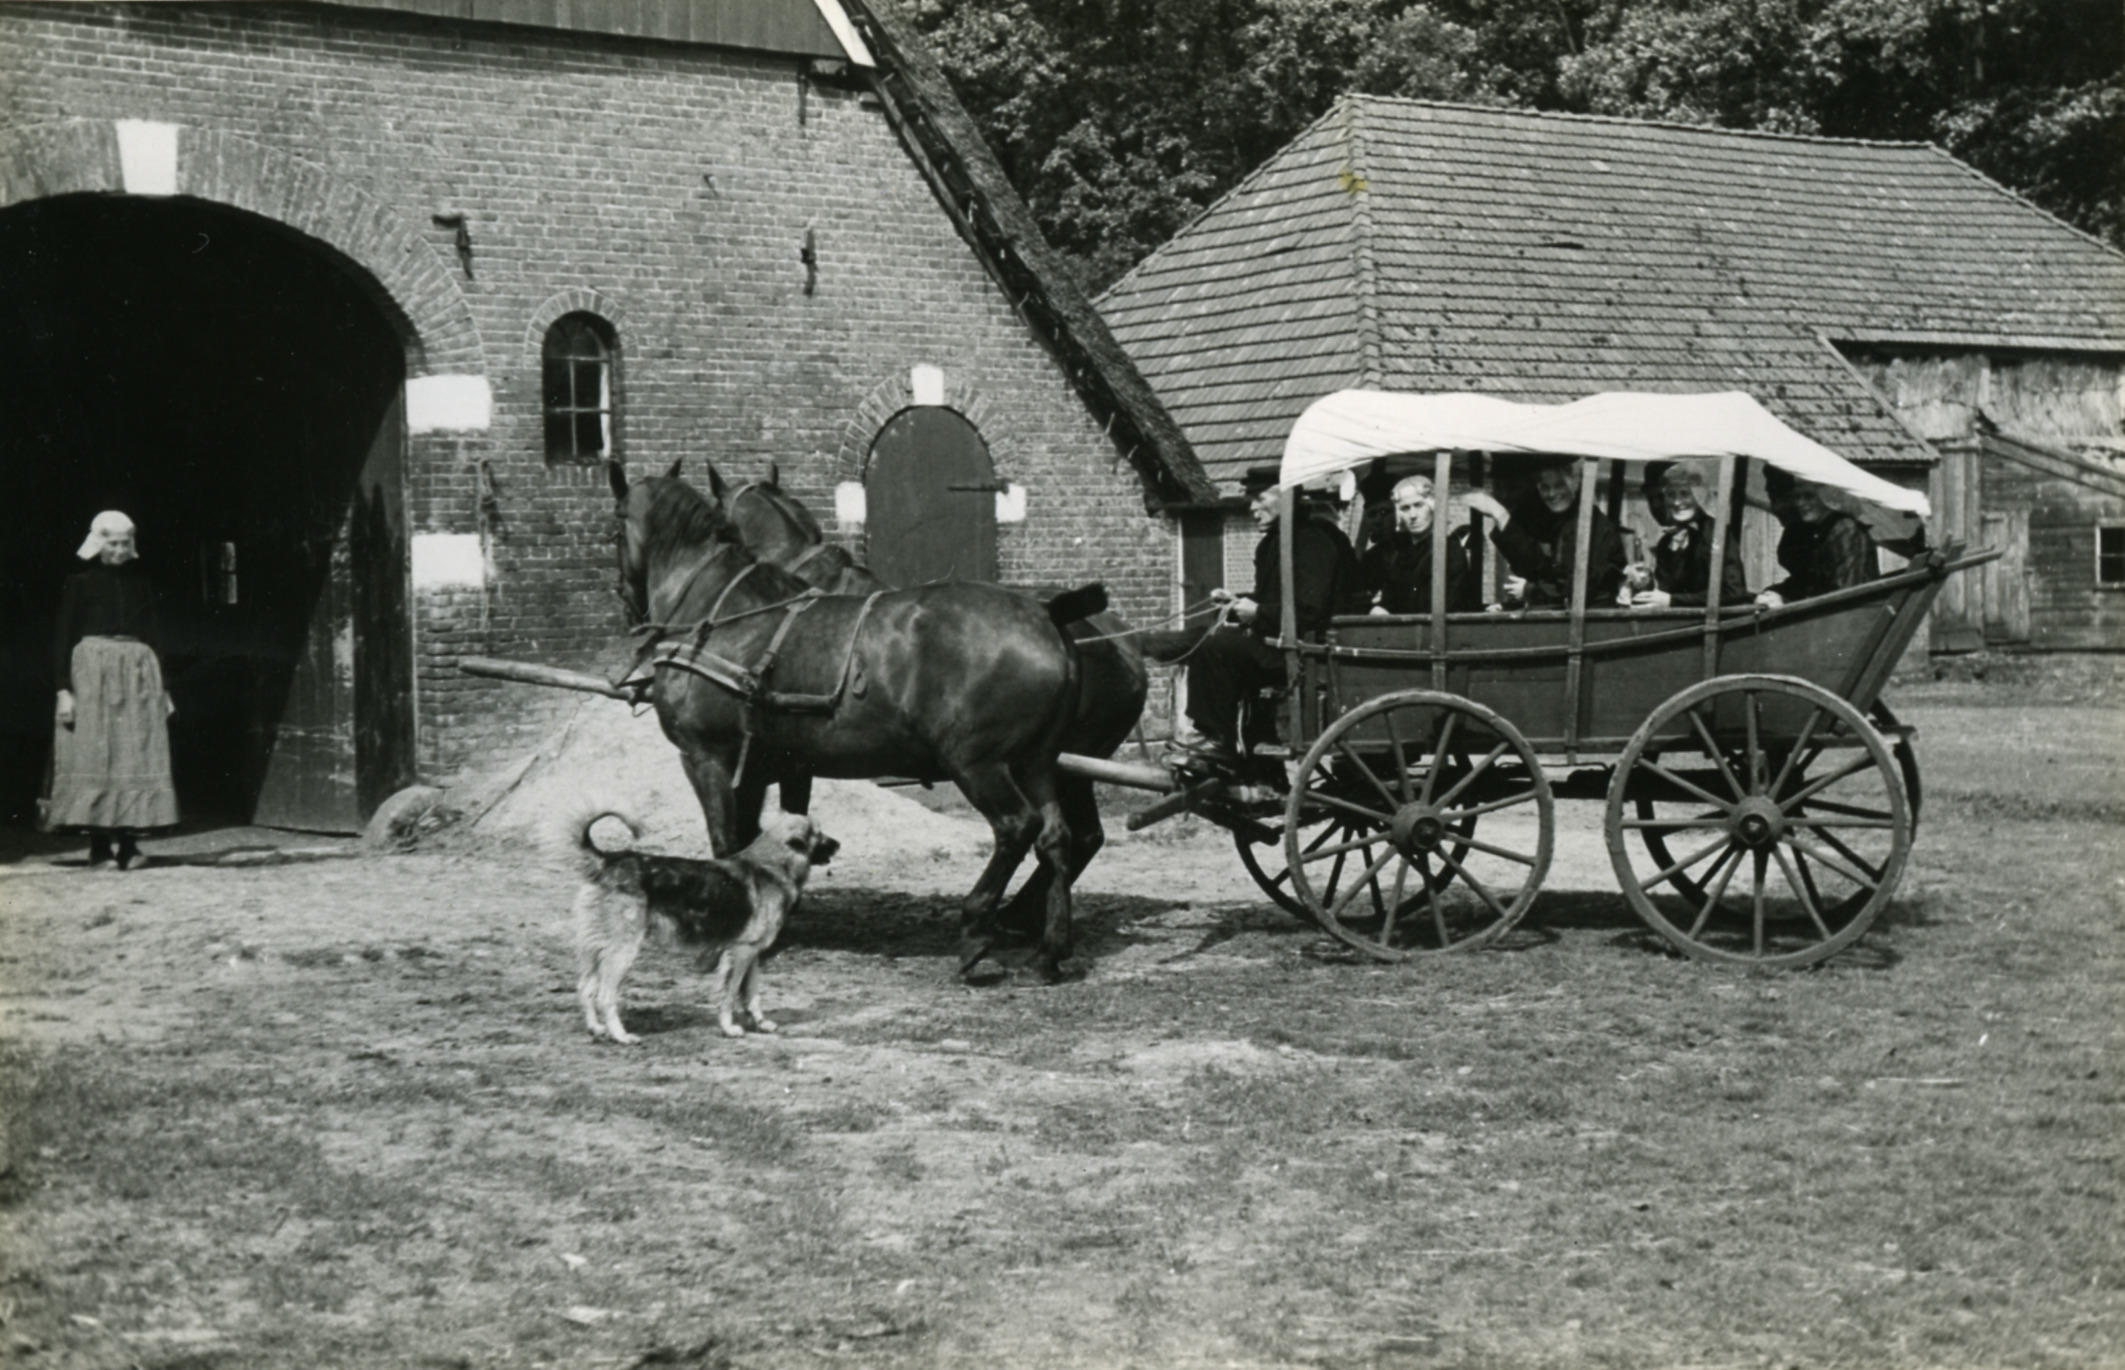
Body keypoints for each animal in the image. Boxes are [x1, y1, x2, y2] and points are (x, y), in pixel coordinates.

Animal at [566, 808, 837, 1045]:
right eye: (819, 833)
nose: (838, 844)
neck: (771, 866)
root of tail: (607, 861)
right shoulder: (741, 952)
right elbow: (730, 994)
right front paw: (729, 1028)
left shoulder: (752, 954)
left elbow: (752, 993)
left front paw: (760, 1023)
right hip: (622, 952)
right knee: (605, 996)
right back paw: (620, 1036)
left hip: (595, 950)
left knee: (585, 988)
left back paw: (596, 1029)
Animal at [609, 461, 1093, 980]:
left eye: (615, 527)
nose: (629, 606)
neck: (720, 617)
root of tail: (1048, 621)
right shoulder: (762, 765)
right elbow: (751, 840)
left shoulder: (706, 757)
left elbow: (724, 841)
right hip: (1037, 762)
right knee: (1055, 838)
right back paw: (1049, 950)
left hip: (978, 763)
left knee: (1015, 827)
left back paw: (977, 926)